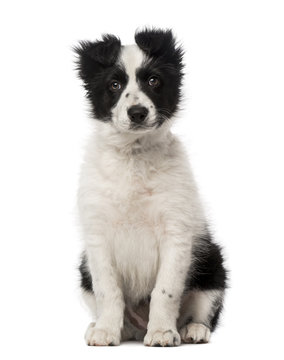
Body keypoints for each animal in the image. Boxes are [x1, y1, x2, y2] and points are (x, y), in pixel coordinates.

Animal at [75, 28, 226, 346]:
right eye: (115, 85)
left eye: (154, 81)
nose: (137, 112)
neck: (134, 155)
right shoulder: (97, 236)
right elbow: (108, 289)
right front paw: (106, 331)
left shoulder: (177, 233)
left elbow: (165, 291)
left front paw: (162, 331)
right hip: (83, 270)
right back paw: (107, 327)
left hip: (212, 263)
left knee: (204, 307)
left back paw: (193, 329)